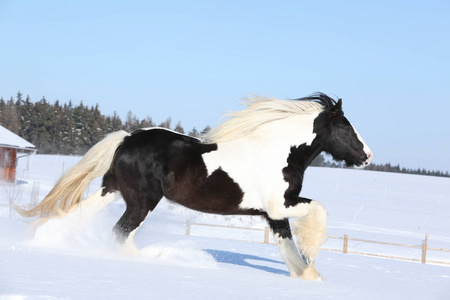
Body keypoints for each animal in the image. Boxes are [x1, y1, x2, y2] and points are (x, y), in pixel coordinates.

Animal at [18, 92, 372, 280]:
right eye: (345, 127)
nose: (367, 156)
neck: (280, 151)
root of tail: (128, 138)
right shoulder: (280, 204)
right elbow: (319, 210)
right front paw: (312, 254)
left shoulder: (274, 214)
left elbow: (287, 246)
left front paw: (308, 275)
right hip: (142, 202)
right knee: (119, 233)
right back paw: (153, 259)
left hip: (112, 190)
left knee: (76, 216)